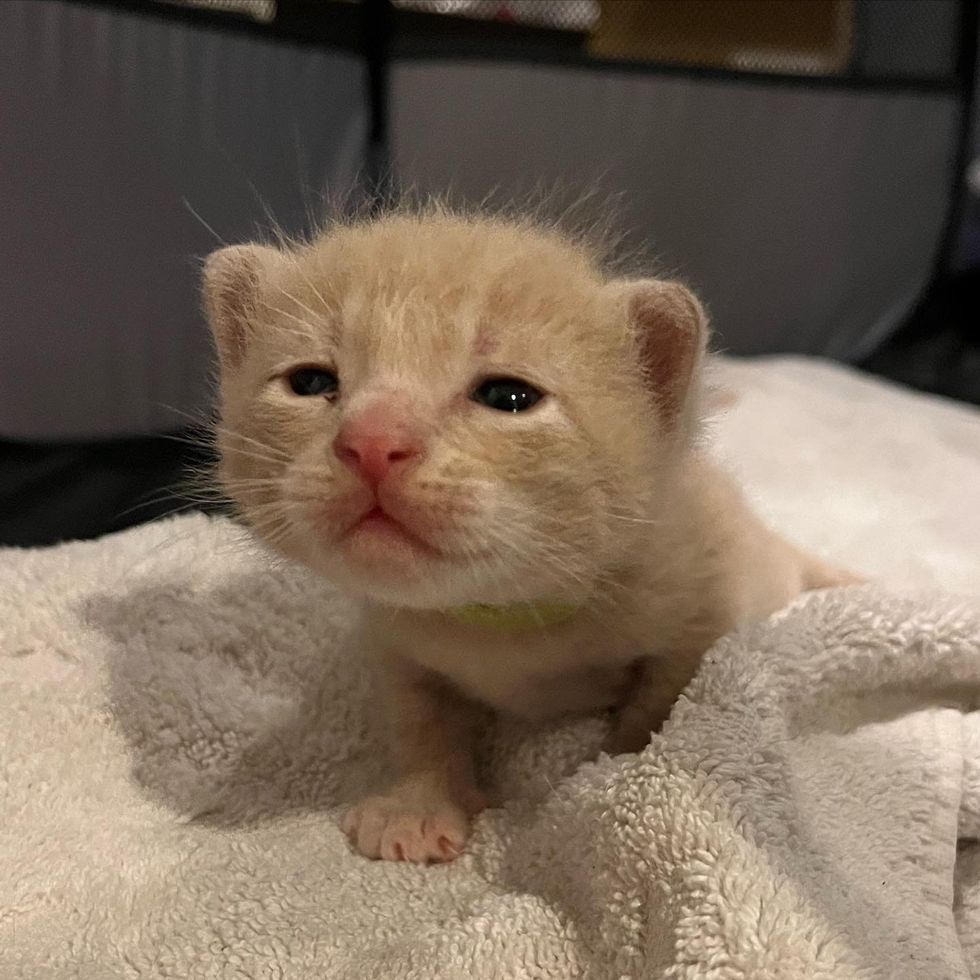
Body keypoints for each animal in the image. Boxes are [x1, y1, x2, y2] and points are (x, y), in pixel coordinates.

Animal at [203, 209, 852, 864]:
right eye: (310, 382)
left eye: (508, 397)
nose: (371, 442)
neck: (507, 619)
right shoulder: (396, 643)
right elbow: (419, 719)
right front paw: (417, 806)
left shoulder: (699, 612)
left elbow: (658, 704)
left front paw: (611, 776)